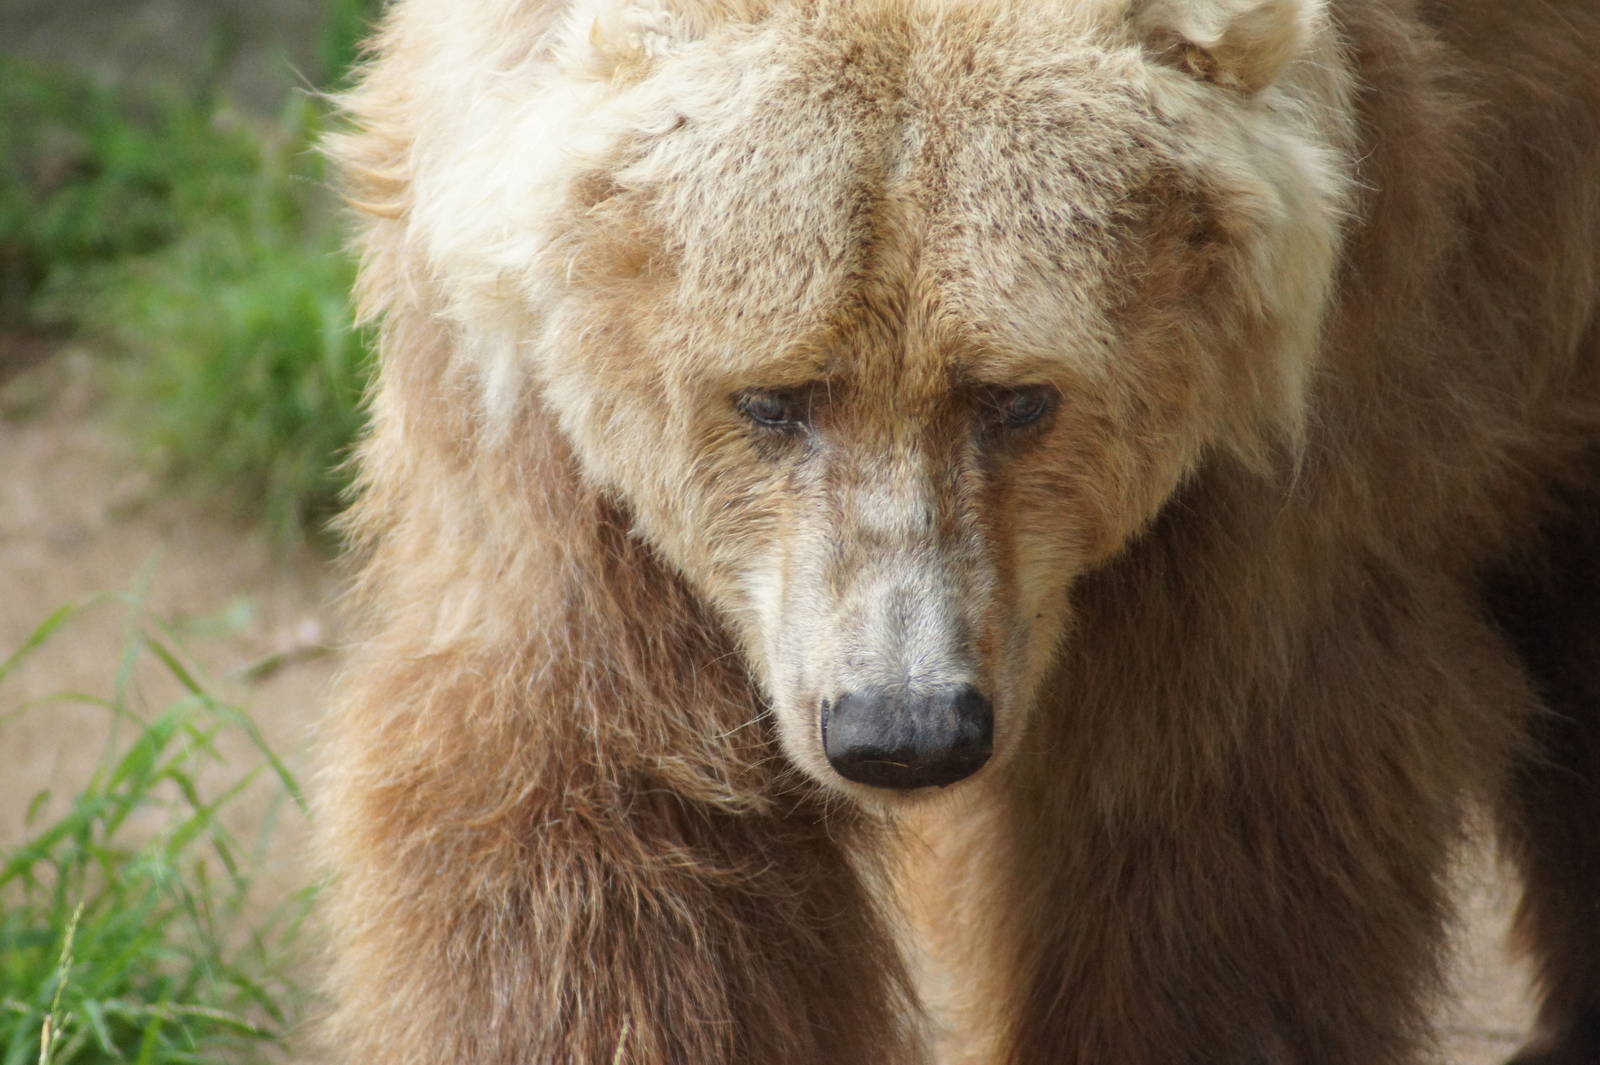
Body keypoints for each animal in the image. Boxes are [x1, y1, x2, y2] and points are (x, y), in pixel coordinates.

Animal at [318, 0, 1600, 1062]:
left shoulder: (1313, 416)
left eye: (1017, 397)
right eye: (770, 396)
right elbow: (614, 806)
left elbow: (1204, 810)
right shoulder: (548, 440)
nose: (905, 727)